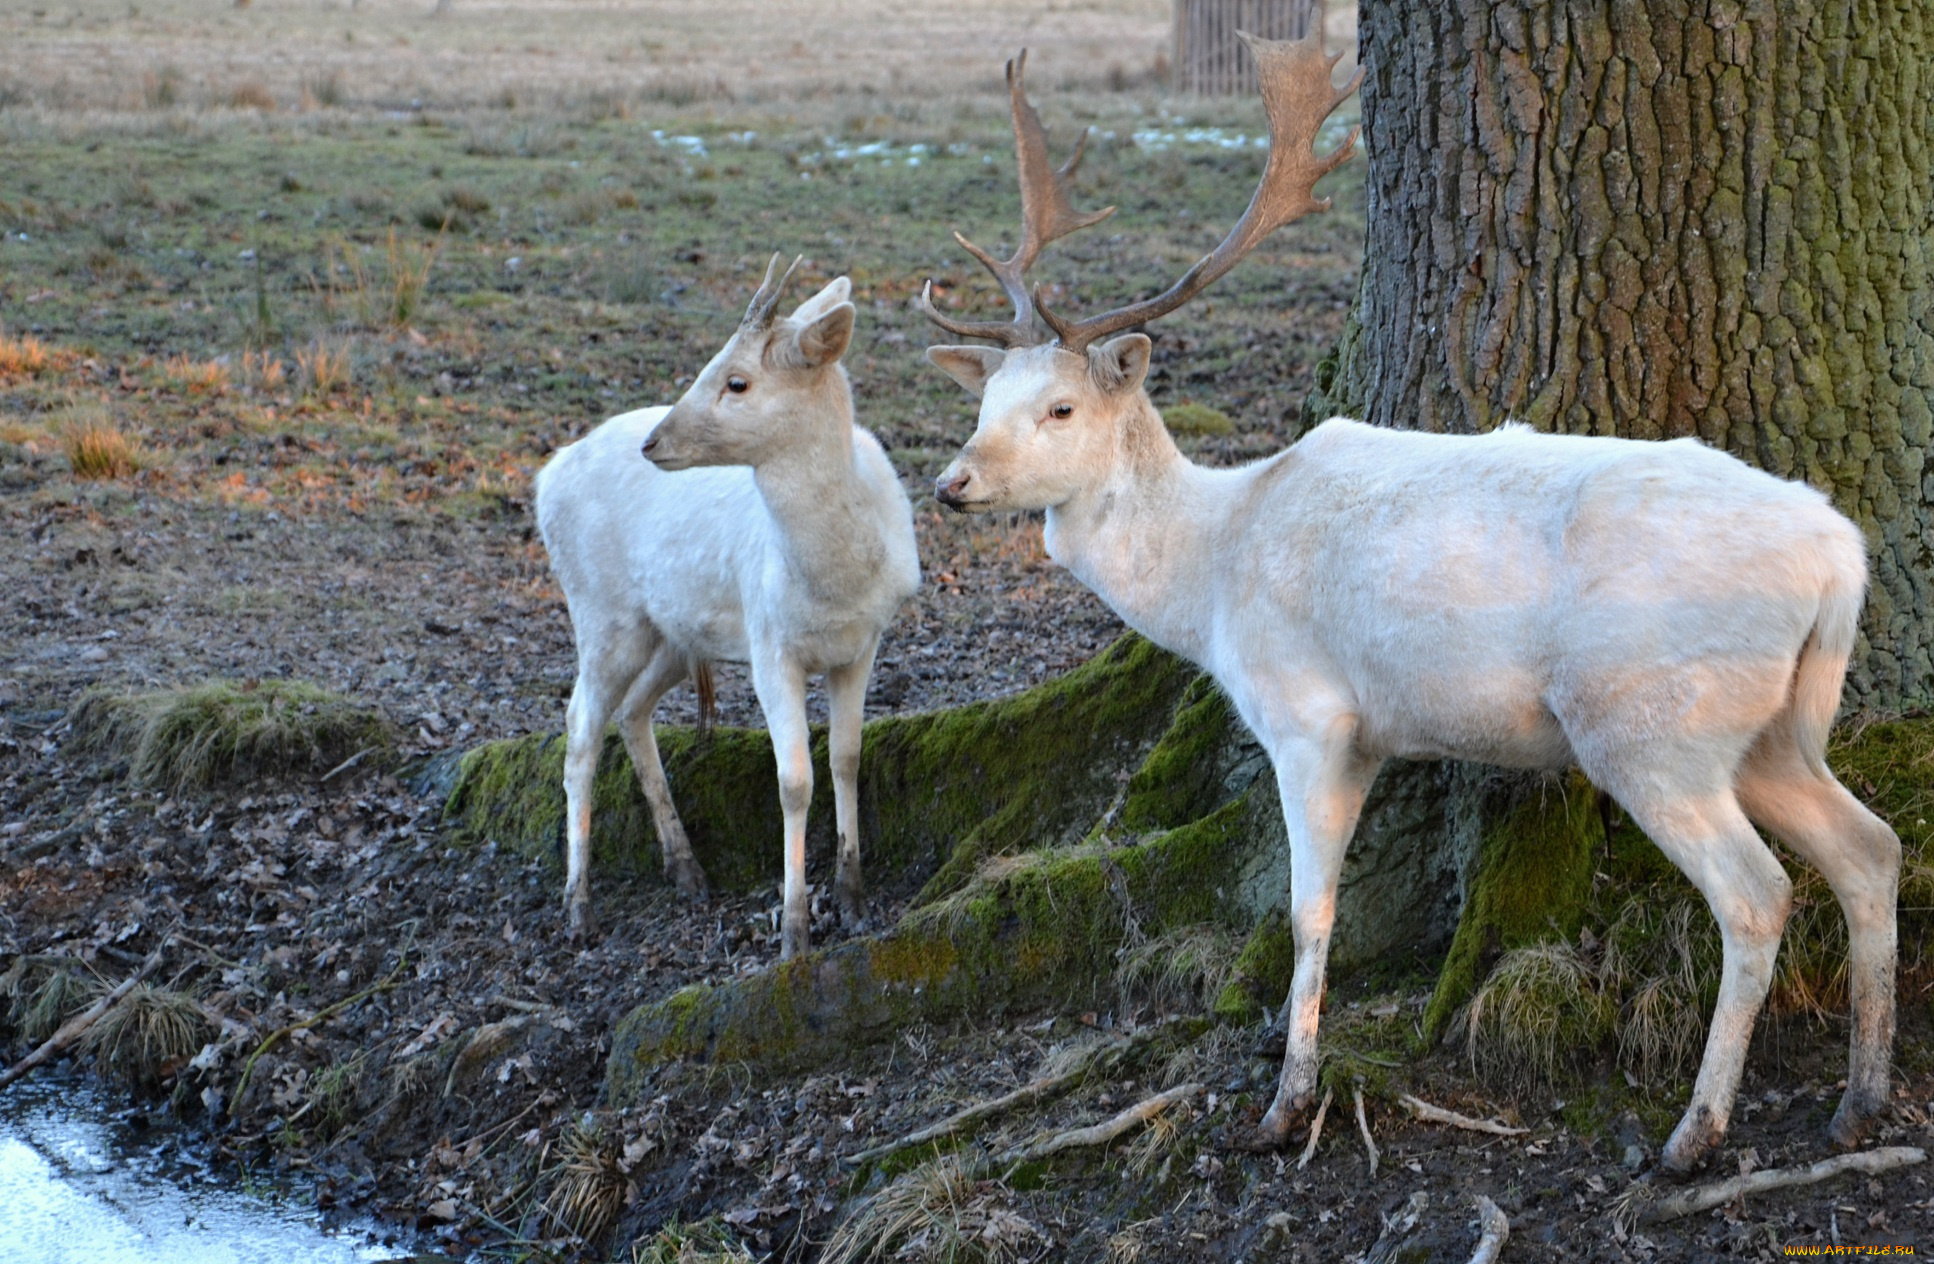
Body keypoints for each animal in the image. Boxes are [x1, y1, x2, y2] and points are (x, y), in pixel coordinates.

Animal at [533, 257, 916, 954]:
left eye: (737, 380)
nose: (654, 442)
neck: (836, 582)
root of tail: (545, 476)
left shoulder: (865, 642)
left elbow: (847, 759)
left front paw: (852, 897)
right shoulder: (769, 645)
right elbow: (794, 782)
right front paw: (794, 930)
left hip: (673, 634)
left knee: (631, 711)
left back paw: (686, 868)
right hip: (601, 611)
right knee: (579, 728)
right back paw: (578, 906)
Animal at [920, 32, 1903, 1175]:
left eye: (1062, 407)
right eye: (985, 400)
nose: (951, 483)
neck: (1214, 569)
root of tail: (1838, 555)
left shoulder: (1308, 715)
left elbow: (1309, 910)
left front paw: (1286, 1102)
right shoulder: (1370, 734)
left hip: (1654, 724)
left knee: (1756, 894)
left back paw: (1692, 1133)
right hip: (1772, 728)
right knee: (1869, 848)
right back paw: (1859, 1100)